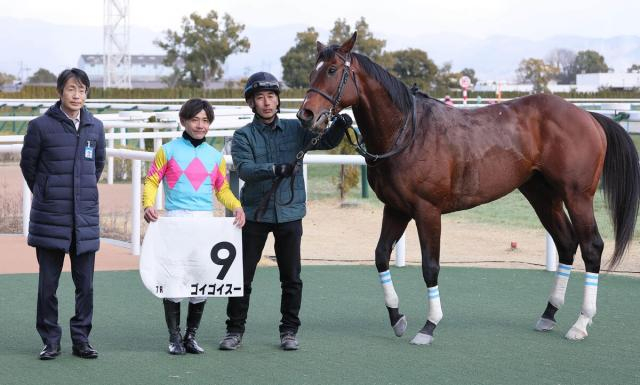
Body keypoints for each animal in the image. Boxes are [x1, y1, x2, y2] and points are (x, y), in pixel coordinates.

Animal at [296, 33, 640, 344]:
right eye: (312, 71)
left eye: (332, 70)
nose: (306, 115)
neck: (407, 132)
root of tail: (587, 116)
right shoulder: (396, 208)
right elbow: (381, 256)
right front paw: (397, 318)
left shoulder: (427, 211)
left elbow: (430, 267)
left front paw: (429, 325)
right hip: (542, 195)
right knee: (567, 243)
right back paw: (549, 314)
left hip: (577, 195)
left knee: (592, 246)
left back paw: (580, 324)